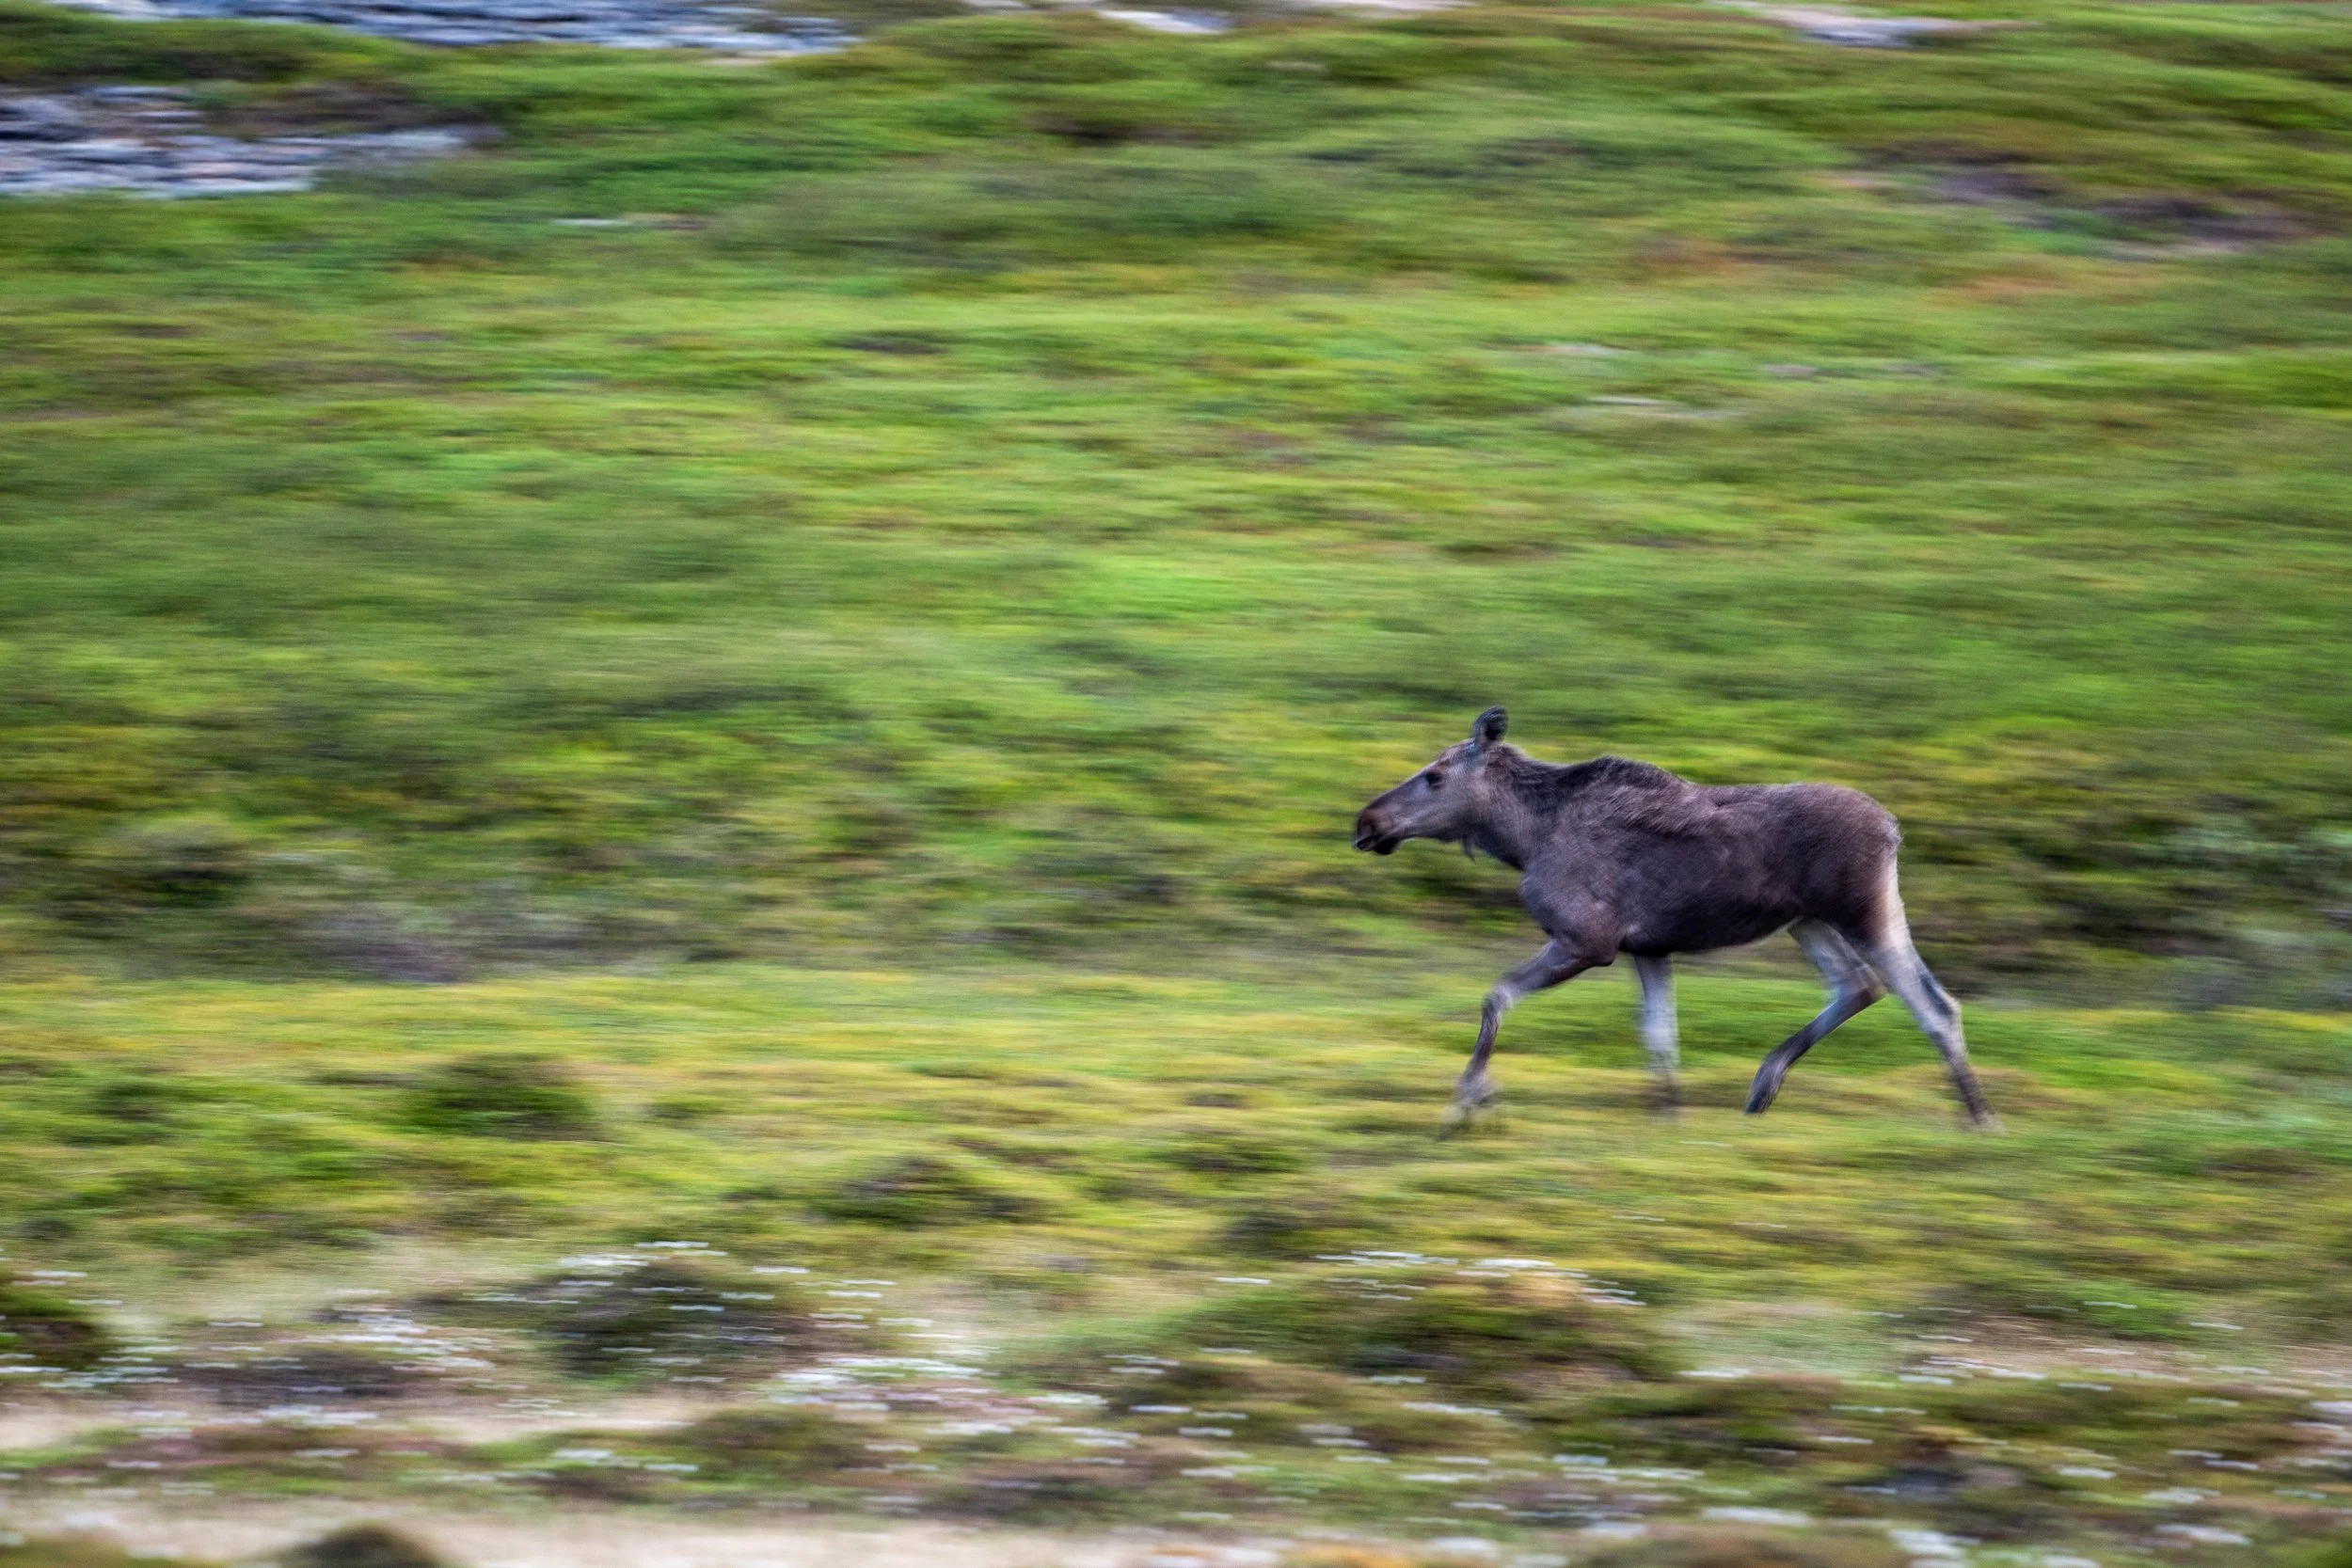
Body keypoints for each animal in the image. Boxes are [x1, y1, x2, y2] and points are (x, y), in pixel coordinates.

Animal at [1353, 707, 1993, 1128]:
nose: (1366, 822)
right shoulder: (1649, 949)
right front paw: (1668, 1115)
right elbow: (1661, 1037)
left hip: (1862, 909)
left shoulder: (1587, 940)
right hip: (1807, 920)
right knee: (1858, 984)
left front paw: (1469, 1100)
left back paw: (1980, 1116)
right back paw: (1764, 1085)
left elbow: (1497, 996)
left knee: (1931, 1003)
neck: (1521, 838)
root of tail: (1894, 828)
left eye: (1435, 775)